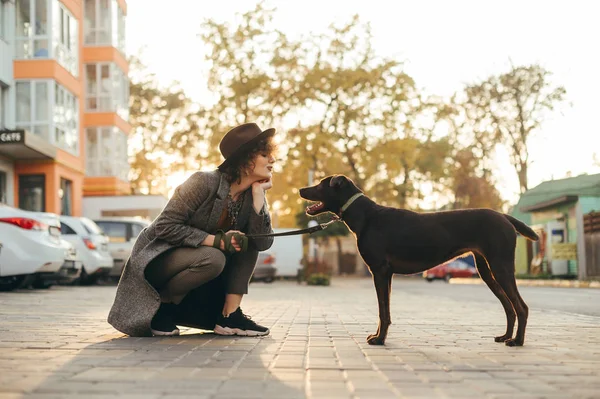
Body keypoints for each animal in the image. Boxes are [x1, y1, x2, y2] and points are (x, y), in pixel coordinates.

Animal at [300, 175, 540, 346]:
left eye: (321, 184)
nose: (301, 189)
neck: (365, 216)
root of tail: (505, 217)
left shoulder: (379, 271)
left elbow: (382, 311)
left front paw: (379, 340)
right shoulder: (386, 274)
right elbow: (385, 311)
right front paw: (379, 336)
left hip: (501, 267)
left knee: (521, 307)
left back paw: (517, 341)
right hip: (486, 270)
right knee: (509, 307)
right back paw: (505, 336)